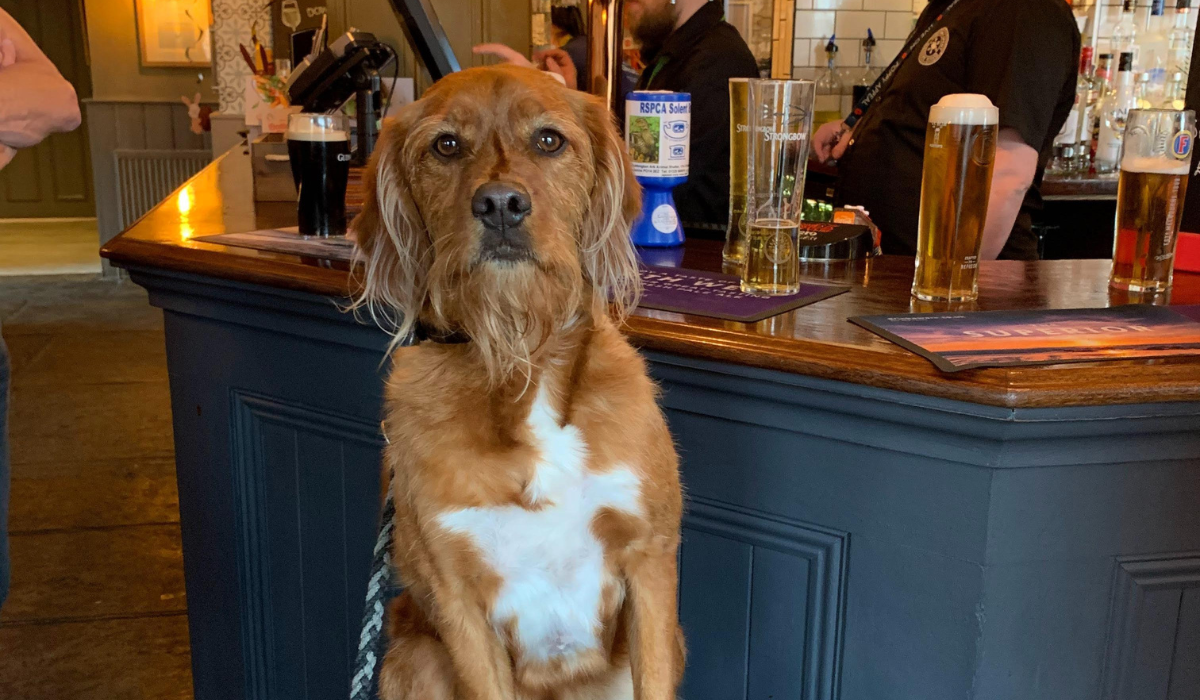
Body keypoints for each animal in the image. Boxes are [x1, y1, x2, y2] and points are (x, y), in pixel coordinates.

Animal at [350, 65, 686, 700]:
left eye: (549, 141)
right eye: (446, 146)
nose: (501, 204)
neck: (521, 357)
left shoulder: (648, 560)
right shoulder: (458, 601)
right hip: (415, 655)